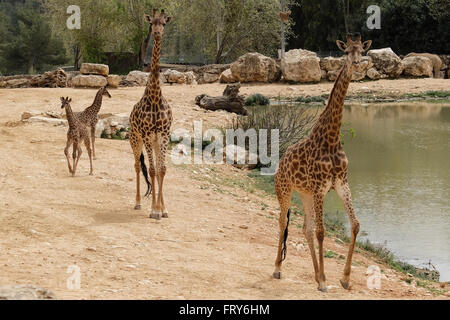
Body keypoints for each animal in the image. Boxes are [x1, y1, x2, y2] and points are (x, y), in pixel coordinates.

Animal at [270, 33, 372, 292]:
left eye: (362, 51)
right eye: (346, 52)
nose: (357, 65)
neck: (332, 138)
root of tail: (280, 162)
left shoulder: (340, 183)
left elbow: (355, 225)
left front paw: (344, 279)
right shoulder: (320, 187)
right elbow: (322, 232)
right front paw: (326, 281)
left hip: (304, 194)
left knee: (305, 228)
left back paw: (316, 275)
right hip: (285, 190)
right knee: (282, 222)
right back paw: (277, 269)